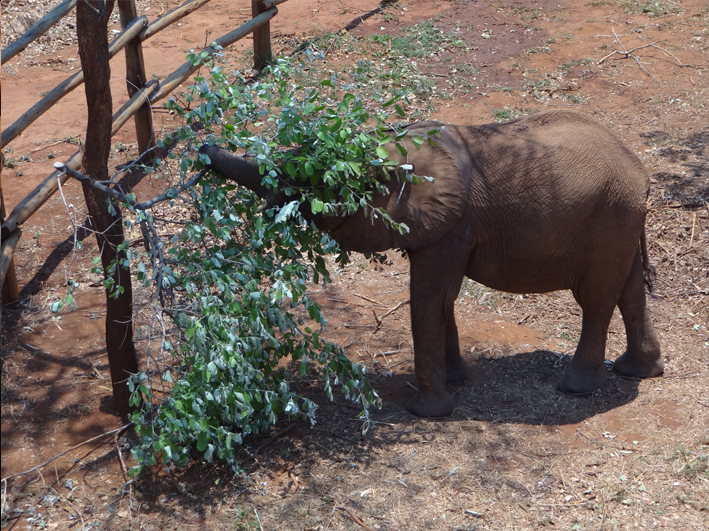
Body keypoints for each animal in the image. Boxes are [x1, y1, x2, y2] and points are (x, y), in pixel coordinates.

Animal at [201, 110, 664, 418]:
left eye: (318, 182)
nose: (202, 146)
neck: (397, 145)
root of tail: (640, 171)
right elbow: (443, 300)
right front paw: (456, 378)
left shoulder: (452, 225)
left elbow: (428, 296)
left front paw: (427, 411)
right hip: (620, 220)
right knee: (630, 291)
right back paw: (638, 371)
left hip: (608, 216)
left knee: (596, 300)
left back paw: (576, 388)